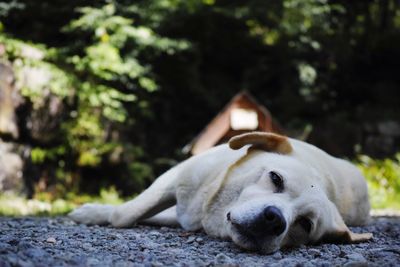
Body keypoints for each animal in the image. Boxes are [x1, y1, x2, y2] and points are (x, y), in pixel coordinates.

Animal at [69, 133, 372, 254]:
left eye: (305, 224)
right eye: (275, 178)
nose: (275, 220)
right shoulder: (175, 177)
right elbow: (125, 213)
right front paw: (96, 212)